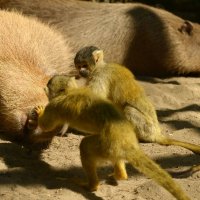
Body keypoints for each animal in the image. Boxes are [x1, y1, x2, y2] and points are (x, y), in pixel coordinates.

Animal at [27, 75, 189, 200]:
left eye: (49, 83)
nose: (45, 86)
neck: (71, 91)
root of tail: (128, 143)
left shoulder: (55, 105)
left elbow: (47, 125)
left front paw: (39, 114)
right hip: (114, 146)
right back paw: (120, 175)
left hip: (106, 146)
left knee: (85, 146)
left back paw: (92, 185)